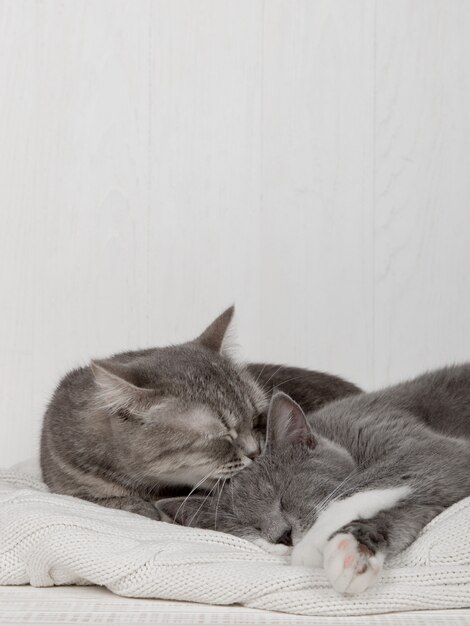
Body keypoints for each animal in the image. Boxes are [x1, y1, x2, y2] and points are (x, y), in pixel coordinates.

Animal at [157, 364, 470, 592]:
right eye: (247, 526)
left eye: (283, 494)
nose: (281, 536)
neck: (343, 438)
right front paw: (352, 556)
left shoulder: (422, 444)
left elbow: (368, 483)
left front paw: (315, 542)